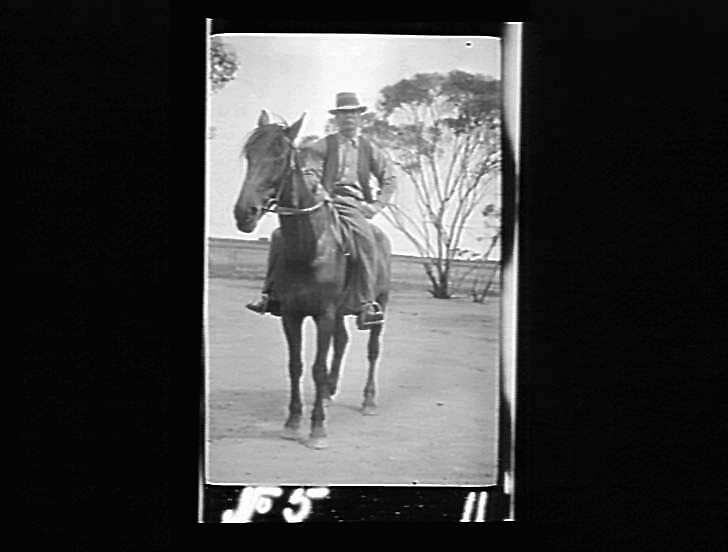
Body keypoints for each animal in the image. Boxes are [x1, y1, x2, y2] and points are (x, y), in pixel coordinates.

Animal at [233, 110, 392, 449]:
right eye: (250, 155)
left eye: (280, 156)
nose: (244, 213)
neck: (310, 247)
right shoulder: (292, 315)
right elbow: (296, 366)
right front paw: (293, 422)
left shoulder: (324, 315)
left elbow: (317, 367)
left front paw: (317, 428)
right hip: (342, 312)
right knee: (342, 343)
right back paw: (330, 393)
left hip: (378, 307)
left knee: (373, 350)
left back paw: (368, 400)